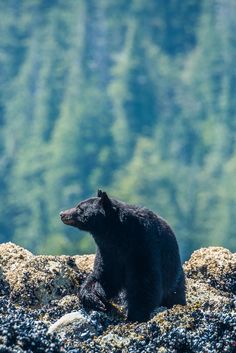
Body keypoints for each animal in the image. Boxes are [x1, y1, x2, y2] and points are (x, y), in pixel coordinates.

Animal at [60, 190, 185, 322]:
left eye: (79, 208)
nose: (62, 213)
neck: (118, 235)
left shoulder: (143, 245)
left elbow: (145, 282)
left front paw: (136, 315)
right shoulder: (108, 252)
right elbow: (105, 276)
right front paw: (94, 299)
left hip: (174, 278)